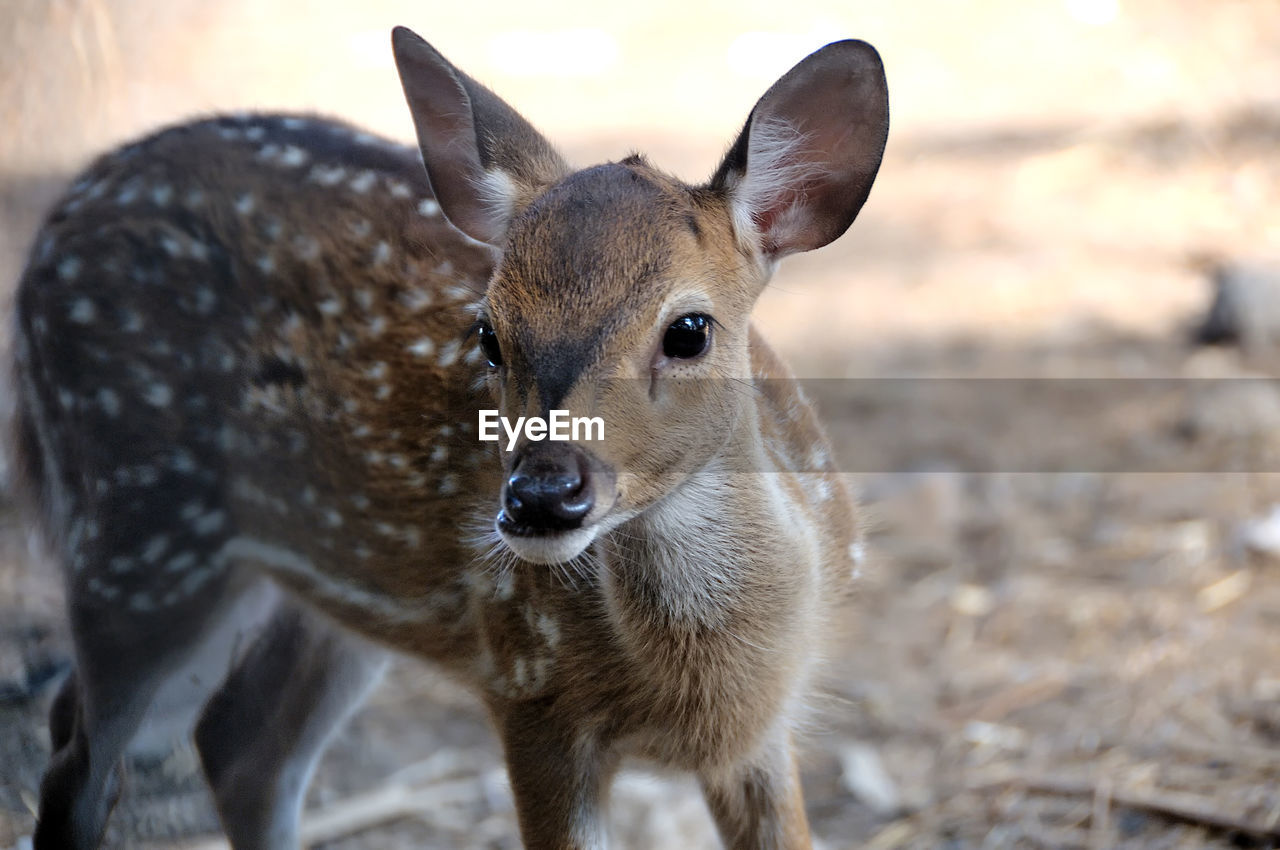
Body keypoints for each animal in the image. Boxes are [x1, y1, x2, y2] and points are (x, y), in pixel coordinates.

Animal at [10, 24, 890, 850]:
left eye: (689, 330)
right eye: (488, 333)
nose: (540, 496)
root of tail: (52, 231)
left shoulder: (761, 733)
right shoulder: (529, 691)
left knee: (240, 741)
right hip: (137, 528)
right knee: (77, 755)